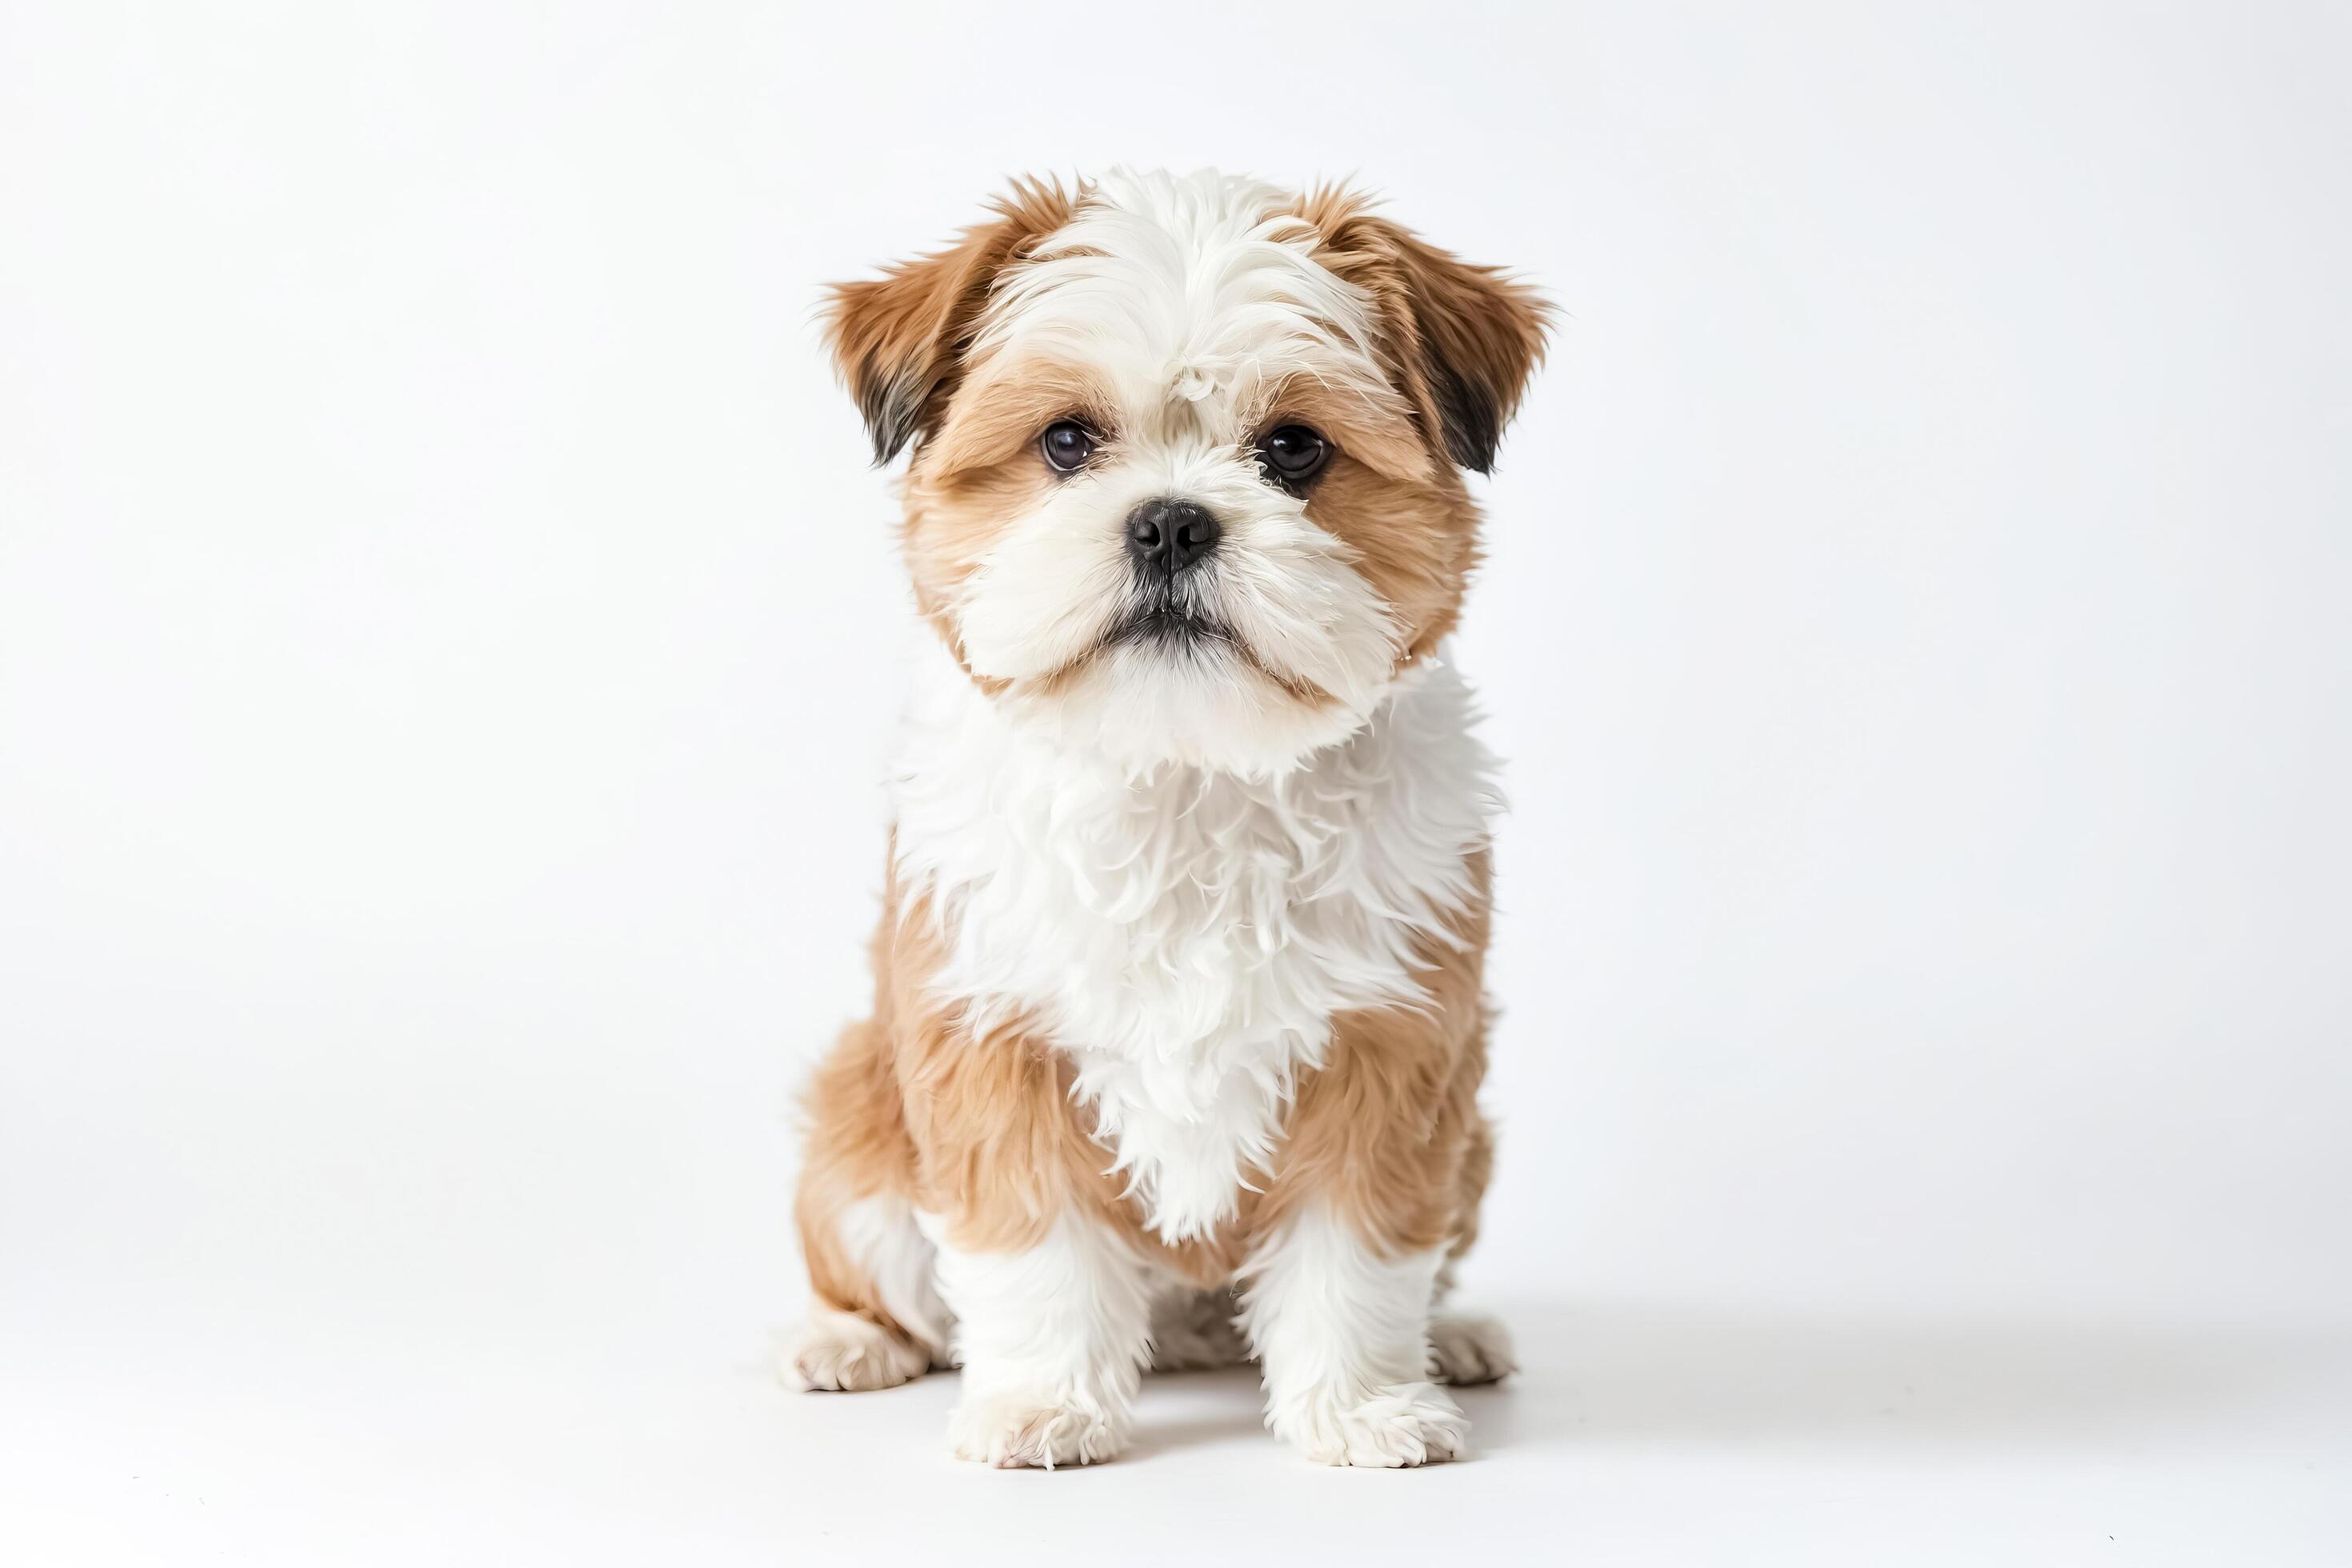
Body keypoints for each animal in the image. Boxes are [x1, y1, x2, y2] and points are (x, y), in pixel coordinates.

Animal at [790, 171, 1552, 1476]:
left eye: (1293, 449)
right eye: (1065, 443)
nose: (1171, 521)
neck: (1190, 770)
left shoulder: (1392, 1052)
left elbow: (1357, 1249)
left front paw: (1364, 1406)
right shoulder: (992, 1038)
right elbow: (1033, 1243)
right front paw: (1043, 1403)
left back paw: (1451, 1337)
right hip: (857, 1114)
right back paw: (852, 1339)